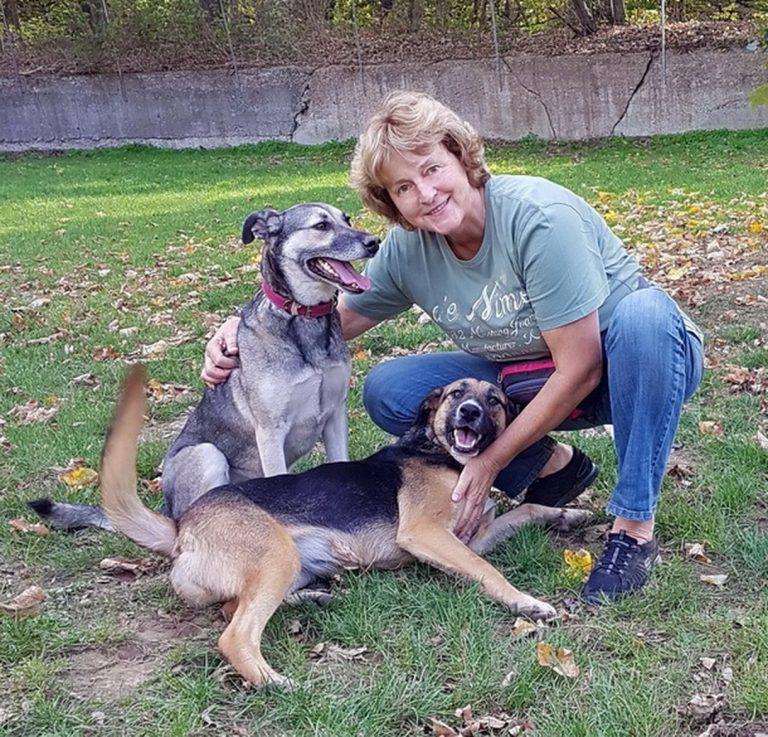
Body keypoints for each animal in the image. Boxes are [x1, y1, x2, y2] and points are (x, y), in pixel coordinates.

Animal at [29, 203, 379, 529]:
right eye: (321, 225)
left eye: (346, 219)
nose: (374, 242)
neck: (303, 319)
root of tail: (166, 510)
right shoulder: (270, 430)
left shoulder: (334, 416)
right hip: (206, 455)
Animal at [101, 366, 589, 688]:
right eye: (455, 395)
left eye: (494, 401)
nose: (469, 412)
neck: (441, 454)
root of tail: (181, 525)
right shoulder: (426, 535)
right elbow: (490, 572)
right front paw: (526, 603)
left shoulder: (474, 536)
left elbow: (526, 512)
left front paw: (569, 514)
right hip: (276, 555)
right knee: (235, 635)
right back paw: (275, 682)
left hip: (288, 565)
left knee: (232, 609)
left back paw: (313, 599)